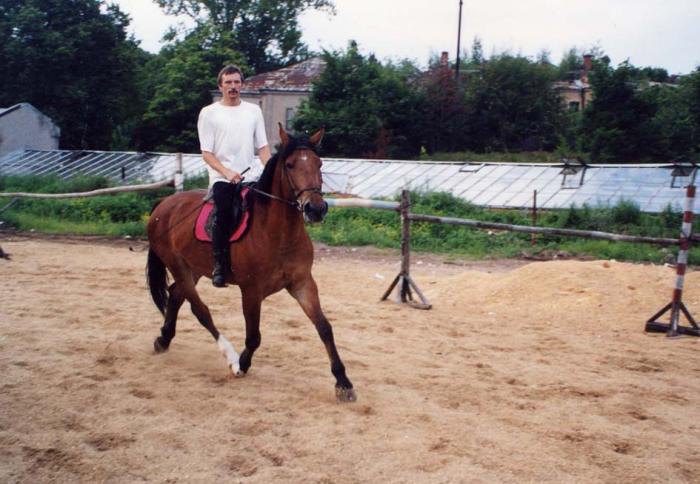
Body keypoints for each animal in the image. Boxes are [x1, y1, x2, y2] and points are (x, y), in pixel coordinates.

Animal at [148, 125, 356, 400]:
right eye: (290, 165)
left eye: (319, 163)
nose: (316, 209)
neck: (277, 234)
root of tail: (164, 205)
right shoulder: (251, 291)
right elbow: (254, 336)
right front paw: (242, 364)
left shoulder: (303, 284)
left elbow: (324, 328)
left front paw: (343, 382)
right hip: (178, 265)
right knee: (200, 310)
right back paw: (229, 356)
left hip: (192, 269)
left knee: (175, 296)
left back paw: (163, 339)